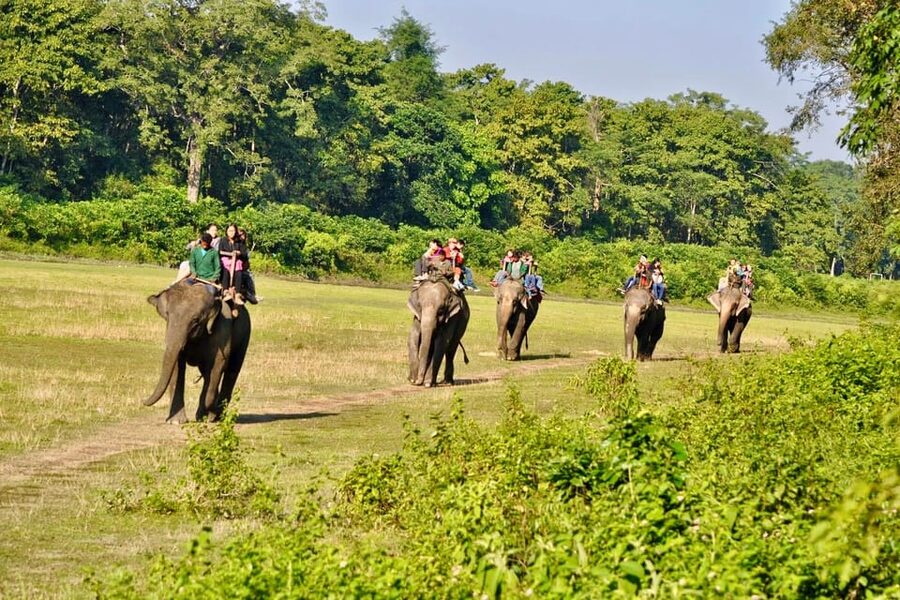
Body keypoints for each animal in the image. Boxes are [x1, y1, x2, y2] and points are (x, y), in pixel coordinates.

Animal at [144, 281, 251, 423]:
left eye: (195, 320)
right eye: (167, 316)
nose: (143, 402)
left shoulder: (222, 330)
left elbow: (218, 364)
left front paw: (204, 416)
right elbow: (177, 366)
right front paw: (176, 421)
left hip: (245, 335)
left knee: (231, 371)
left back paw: (217, 416)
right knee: (208, 373)